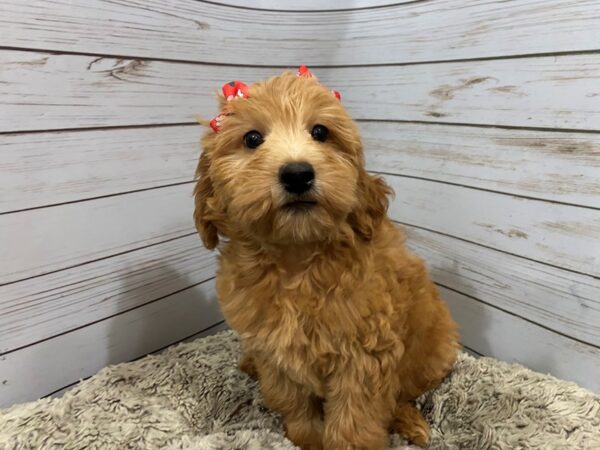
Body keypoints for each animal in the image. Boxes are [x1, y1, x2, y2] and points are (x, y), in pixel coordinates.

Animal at [195, 67, 458, 450]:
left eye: (320, 132)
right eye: (252, 138)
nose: (297, 173)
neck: (297, 256)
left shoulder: (364, 355)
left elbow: (354, 420)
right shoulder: (273, 352)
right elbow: (293, 402)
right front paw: (307, 438)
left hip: (435, 351)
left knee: (403, 394)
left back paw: (411, 423)